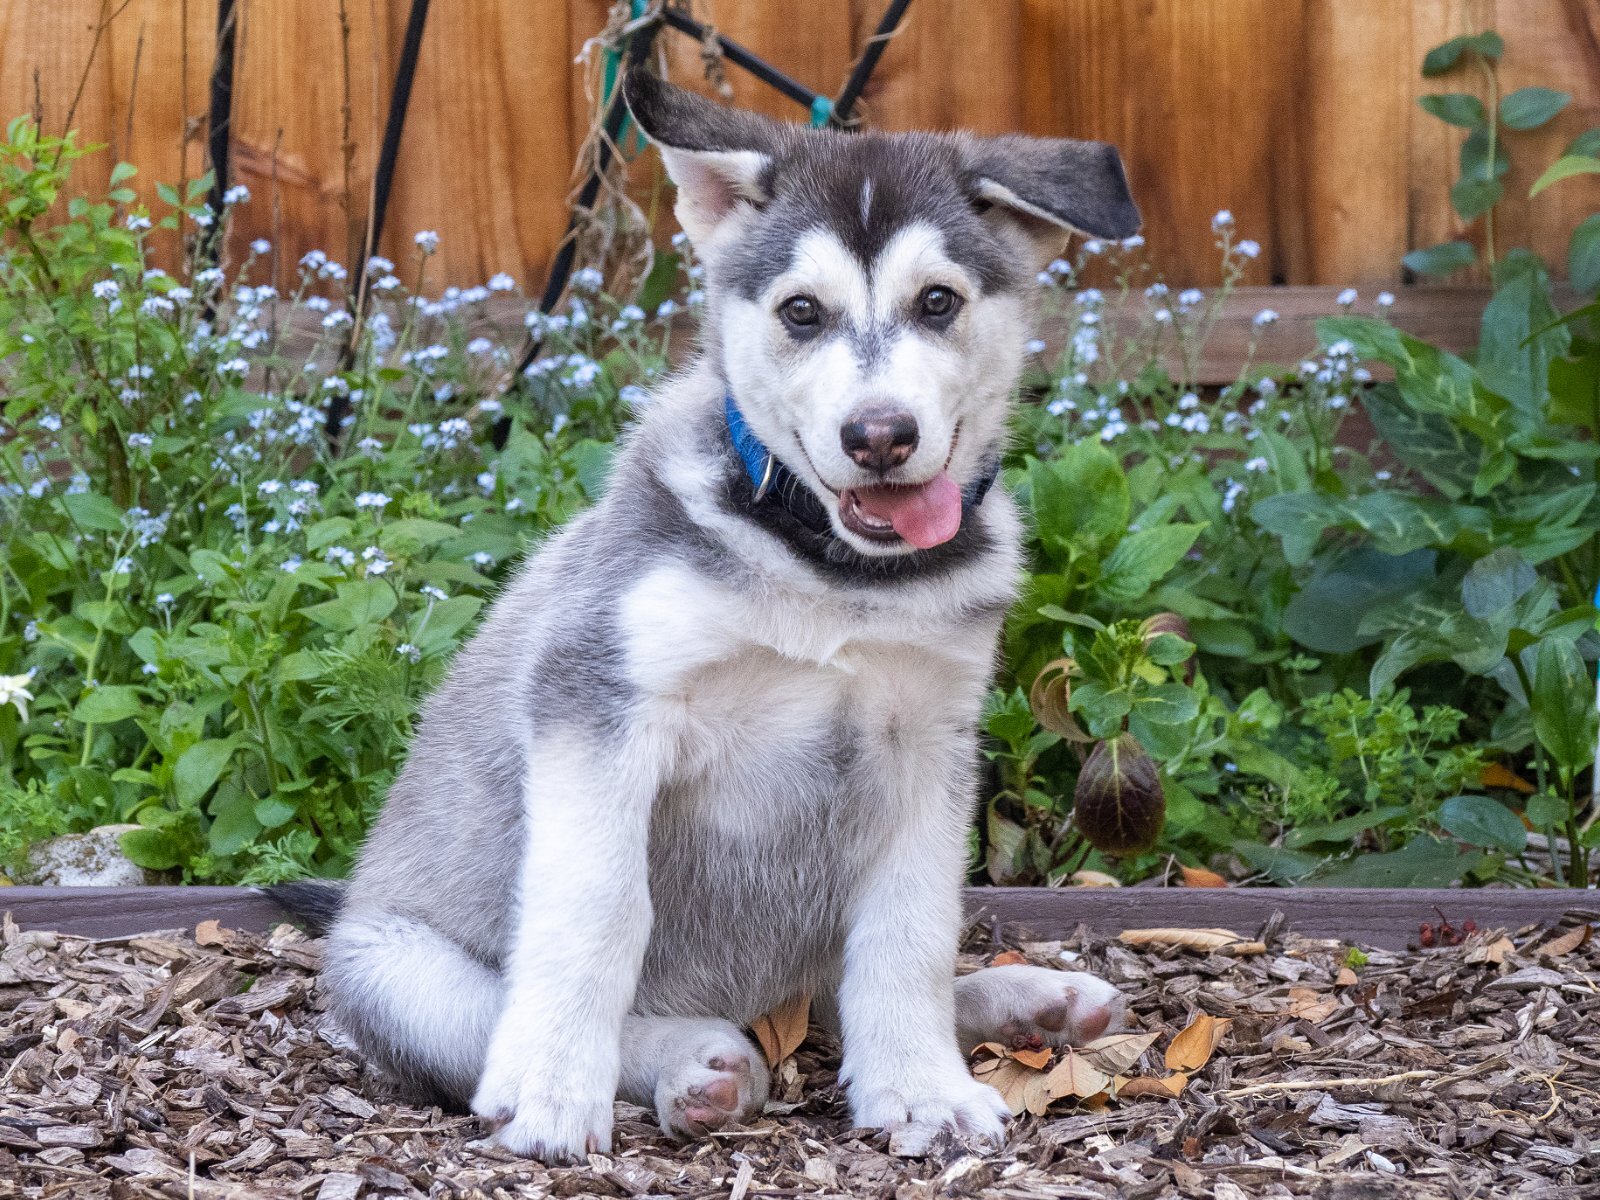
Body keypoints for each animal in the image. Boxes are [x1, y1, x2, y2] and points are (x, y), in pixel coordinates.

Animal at [272, 75, 1139, 1164]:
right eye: (802, 311)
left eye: (937, 301)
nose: (879, 436)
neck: (830, 573)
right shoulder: (600, 705)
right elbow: (600, 908)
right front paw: (553, 1088)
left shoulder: (928, 740)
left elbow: (909, 931)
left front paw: (922, 1087)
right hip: (396, 968)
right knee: (501, 1013)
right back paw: (688, 1059)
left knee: (845, 986)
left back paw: (1028, 1003)